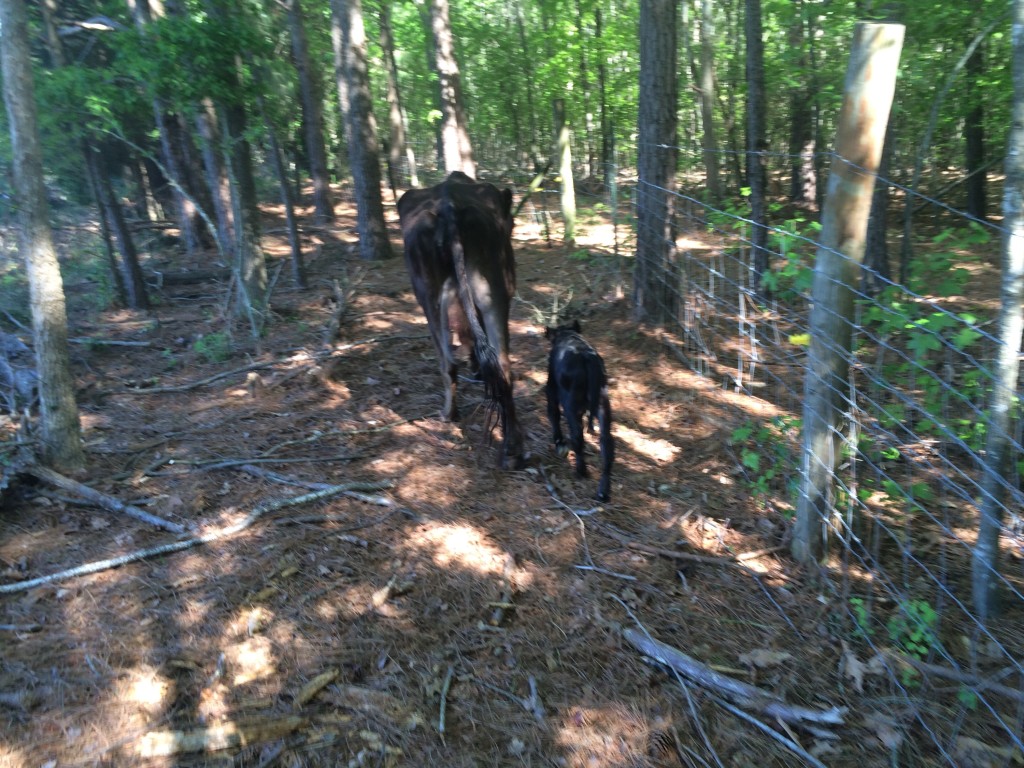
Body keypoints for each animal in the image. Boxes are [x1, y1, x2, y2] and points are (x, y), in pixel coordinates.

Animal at [395, 173, 524, 468]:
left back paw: (450, 414)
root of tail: (449, 206)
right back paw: (512, 449)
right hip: (492, 291)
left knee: (450, 360)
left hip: (432, 296)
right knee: (499, 362)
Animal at [544, 319, 614, 505]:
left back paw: (581, 471)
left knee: (577, 437)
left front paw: (559, 442)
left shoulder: (551, 390)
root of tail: (586, 357)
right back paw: (603, 492)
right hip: (603, 406)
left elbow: (553, 414)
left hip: (570, 406)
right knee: (607, 444)